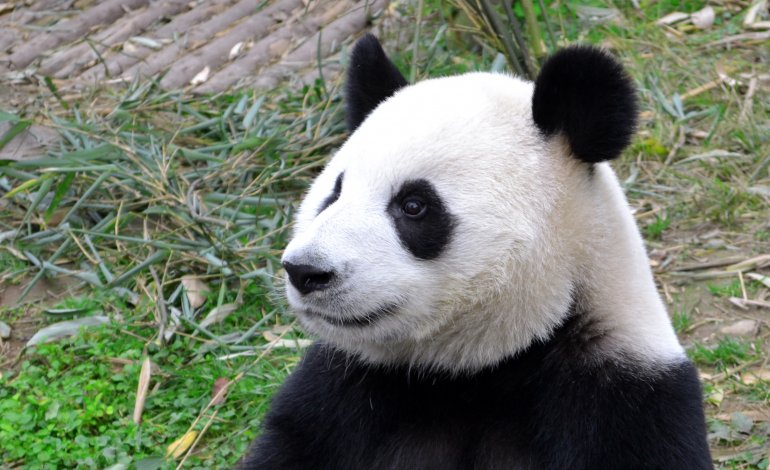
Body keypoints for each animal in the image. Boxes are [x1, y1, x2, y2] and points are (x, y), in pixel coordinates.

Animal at [237, 34, 712, 469]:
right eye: (334, 193)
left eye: (414, 205)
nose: (306, 271)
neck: (472, 372)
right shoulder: (339, 396)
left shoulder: (625, 402)